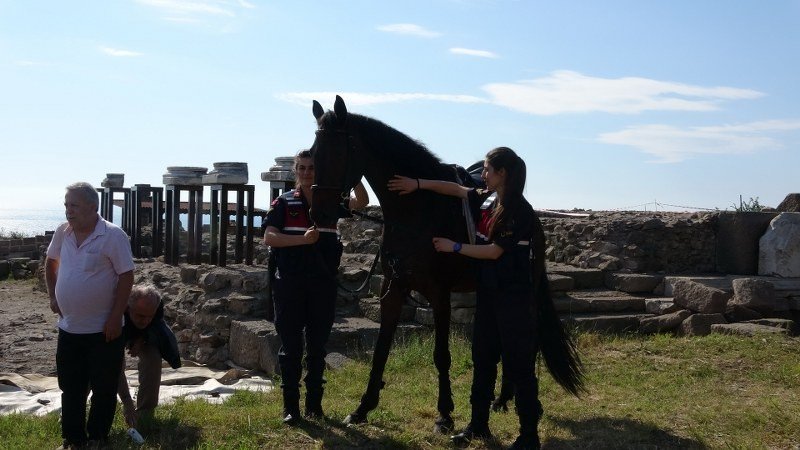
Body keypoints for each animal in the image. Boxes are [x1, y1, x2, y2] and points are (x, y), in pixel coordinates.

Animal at [306, 96, 580, 432]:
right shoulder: (392, 289)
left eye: (338, 152)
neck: (418, 211)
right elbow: (381, 350)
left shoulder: (439, 295)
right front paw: (363, 408)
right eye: (312, 153)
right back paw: (502, 399)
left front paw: (445, 414)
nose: (319, 214)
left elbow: (441, 355)